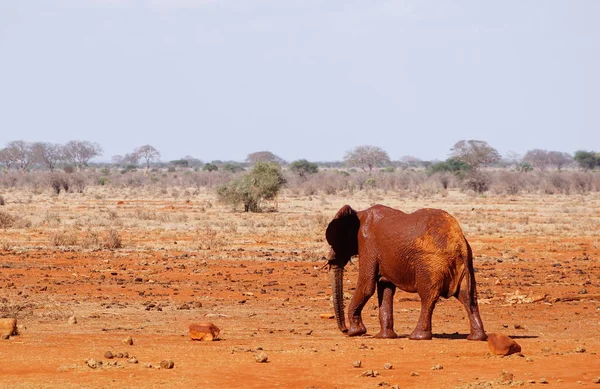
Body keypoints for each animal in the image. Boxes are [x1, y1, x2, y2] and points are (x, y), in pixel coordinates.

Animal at [326, 203, 486, 340]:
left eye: (334, 240)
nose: (344, 330)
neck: (359, 213)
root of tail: (460, 242)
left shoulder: (367, 243)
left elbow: (367, 285)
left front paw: (355, 332)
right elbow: (385, 287)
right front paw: (384, 337)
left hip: (430, 263)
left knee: (428, 296)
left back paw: (417, 336)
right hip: (464, 263)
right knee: (467, 295)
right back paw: (477, 337)